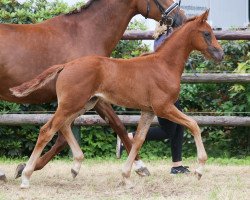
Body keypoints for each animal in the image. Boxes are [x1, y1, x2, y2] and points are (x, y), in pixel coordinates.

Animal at [11, 9, 225, 188]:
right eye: (206, 33)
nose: (221, 54)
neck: (164, 65)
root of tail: (66, 65)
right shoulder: (163, 107)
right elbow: (194, 125)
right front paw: (199, 170)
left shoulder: (148, 110)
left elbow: (138, 140)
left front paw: (127, 177)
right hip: (72, 104)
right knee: (47, 130)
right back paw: (26, 177)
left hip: (84, 104)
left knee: (62, 127)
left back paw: (75, 167)